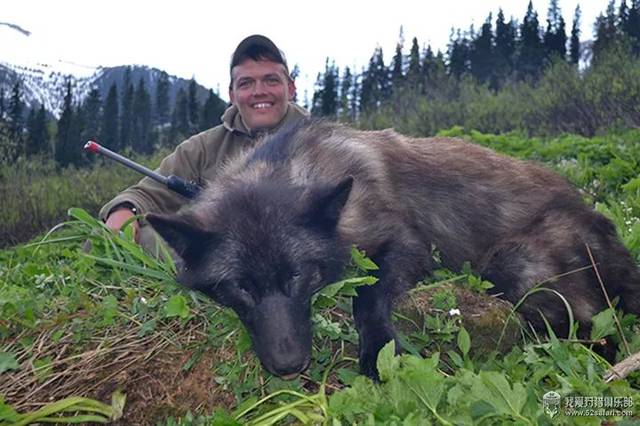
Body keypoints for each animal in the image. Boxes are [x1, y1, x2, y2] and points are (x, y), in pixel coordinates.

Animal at [146, 120, 640, 380]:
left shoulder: (406, 241)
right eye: (240, 288)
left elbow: (368, 296)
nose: (289, 366)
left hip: (516, 264)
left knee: (600, 329)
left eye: (299, 276)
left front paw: (379, 349)